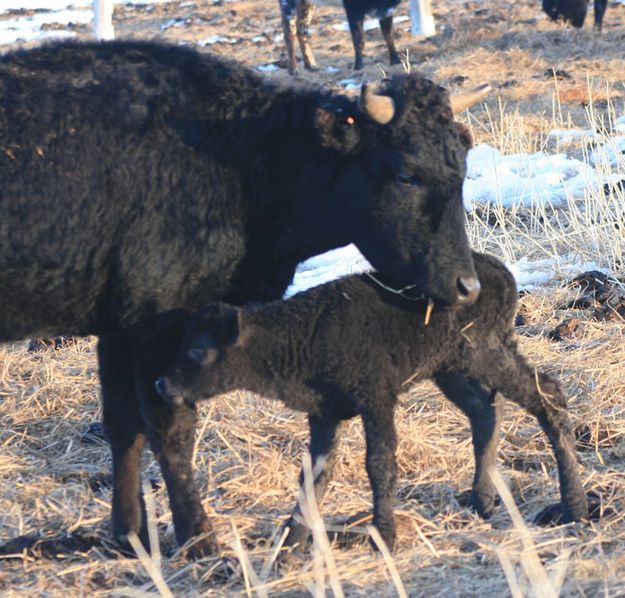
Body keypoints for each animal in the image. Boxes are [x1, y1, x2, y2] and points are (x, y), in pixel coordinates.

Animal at [0, 39, 482, 560]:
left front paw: (131, 536)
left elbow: (124, 427)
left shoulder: (117, 327)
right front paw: (200, 540)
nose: (466, 286)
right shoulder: (159, 325)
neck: (245, 159)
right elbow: (171, 431)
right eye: (406, 174)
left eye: (462, 170)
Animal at [154, 253, 588, 552]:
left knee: (548, 394)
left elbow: (379, 463)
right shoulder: (324, 414)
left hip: (483, 352)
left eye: (198, 349)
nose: (162, 383)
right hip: (448, 367)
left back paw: (574, 506)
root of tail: (500, 272)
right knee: (485, 410)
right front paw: (290, 548)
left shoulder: (375, 397)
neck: (300, 335)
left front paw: (385, 536)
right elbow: (314, 476)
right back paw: (481, 502)